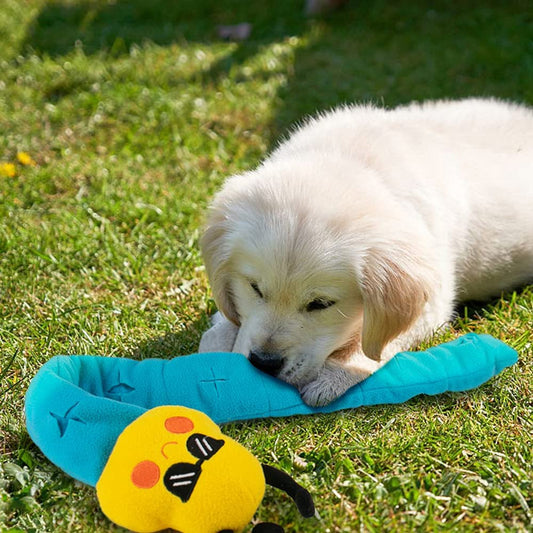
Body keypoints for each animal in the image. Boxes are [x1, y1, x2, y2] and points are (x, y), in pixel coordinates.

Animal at [200, 97, 532, 406]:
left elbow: (373, 343)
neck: (349, 162)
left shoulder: (434, 302)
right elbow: (228, 322)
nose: (264, 363)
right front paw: (218, 345)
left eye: (320, 304)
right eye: (254, 288)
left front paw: (335, 376)